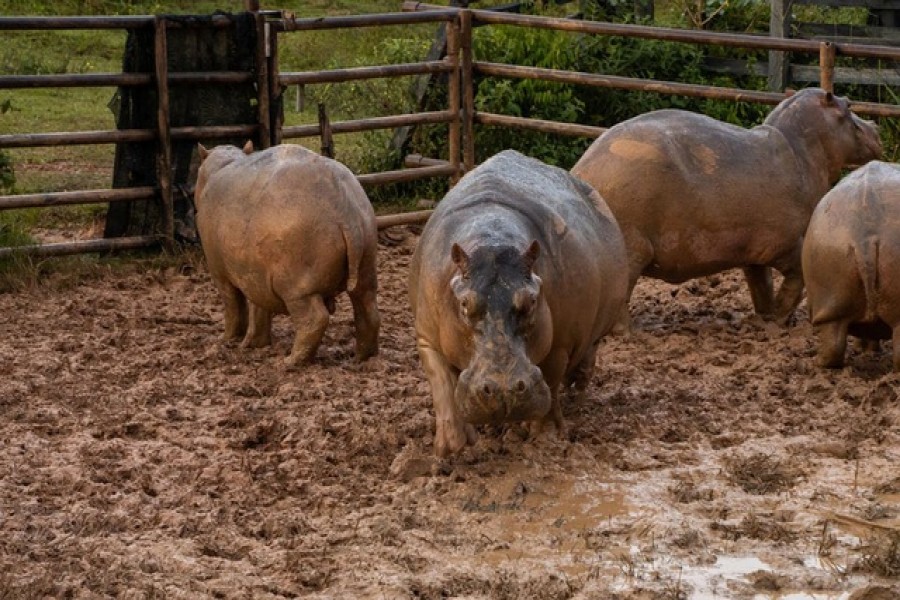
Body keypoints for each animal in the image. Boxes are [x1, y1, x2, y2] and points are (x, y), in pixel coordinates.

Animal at [195, 141, 380, 365]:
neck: (221, 165)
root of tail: (345, 210)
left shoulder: (220, 274)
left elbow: (234, 306)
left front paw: (227, 340)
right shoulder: (255, 275)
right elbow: (258, 309)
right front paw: (253, 344)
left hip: (296, 286)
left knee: (315, 319)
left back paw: (289, 362)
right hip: (366, 264)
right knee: (368, 310)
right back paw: (360, 358)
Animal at [409, 150, 628, 457]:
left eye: (532, 299)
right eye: (464, 303)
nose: (504, 390)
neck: (492, 241)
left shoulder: (560, 343)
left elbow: (551, 381)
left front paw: (546, 438)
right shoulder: (427, 336)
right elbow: (442, 386)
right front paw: (452, 449)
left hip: (595, 326)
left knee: (586, 355)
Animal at [571, 88, 882, 327]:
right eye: (848, 105)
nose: (875, 126)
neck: (802, 149)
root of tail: (581, 172)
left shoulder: (755, 251)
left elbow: (761, 285)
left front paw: (765, 320)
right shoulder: (789, 244)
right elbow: (796, 279)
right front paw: (780, 319)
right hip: (631, 248)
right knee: (621, 297)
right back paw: (628, 332)